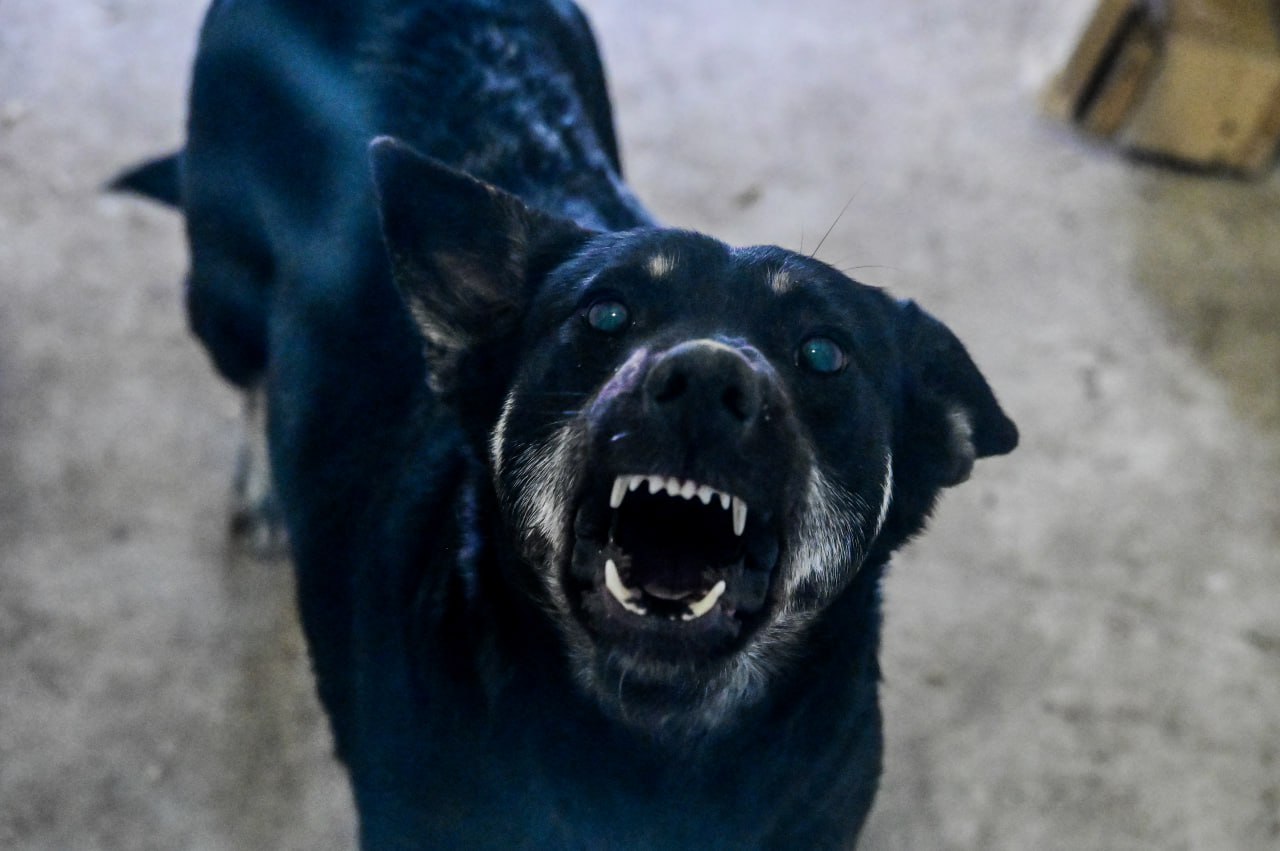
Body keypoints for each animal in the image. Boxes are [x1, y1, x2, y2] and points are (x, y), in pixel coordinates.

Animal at [120, 0, 1018, 844]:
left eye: (825, 353)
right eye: (606, 312)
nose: (706, 379)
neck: (649, 755)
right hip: (224, 284)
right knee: (250, 375)